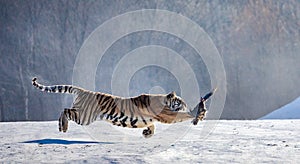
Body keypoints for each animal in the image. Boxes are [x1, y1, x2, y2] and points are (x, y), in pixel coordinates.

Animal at [32, 77, 216, 138]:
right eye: (181, 101)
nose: (184, 104)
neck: (164, 100)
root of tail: (83, 90)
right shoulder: (167, 115)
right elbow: (183, 116)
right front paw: (198, 113)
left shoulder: (152, 119)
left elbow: (152, 126)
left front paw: (147, 133)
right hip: (85, 116)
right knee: (65, 111)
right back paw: (62, 127)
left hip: (83, 114)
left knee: (65, 110)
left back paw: (61, 127)